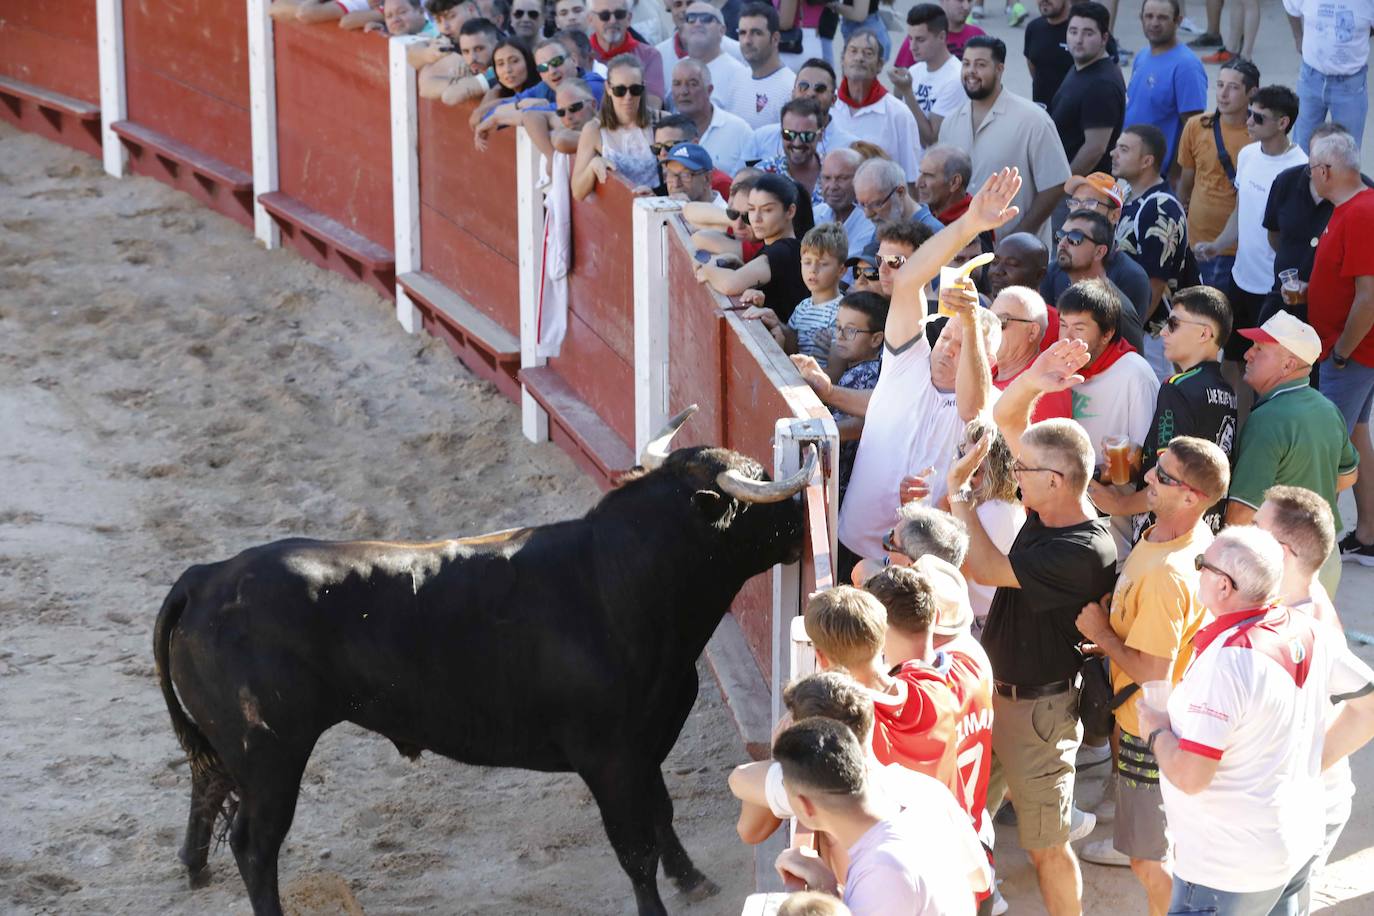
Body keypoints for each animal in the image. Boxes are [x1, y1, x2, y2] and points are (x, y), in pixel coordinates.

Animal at [153, 409, 813, 916]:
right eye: (762, 484)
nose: (806, 524)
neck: (620, 580)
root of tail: (205, 577)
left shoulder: (645, 744)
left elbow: (661, 814)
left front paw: (694, 879)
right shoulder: (610, 757)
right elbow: (635, 848)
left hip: (239, 748)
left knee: (207, 782)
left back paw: (193, 868)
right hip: (271, 753)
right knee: (254, 844)